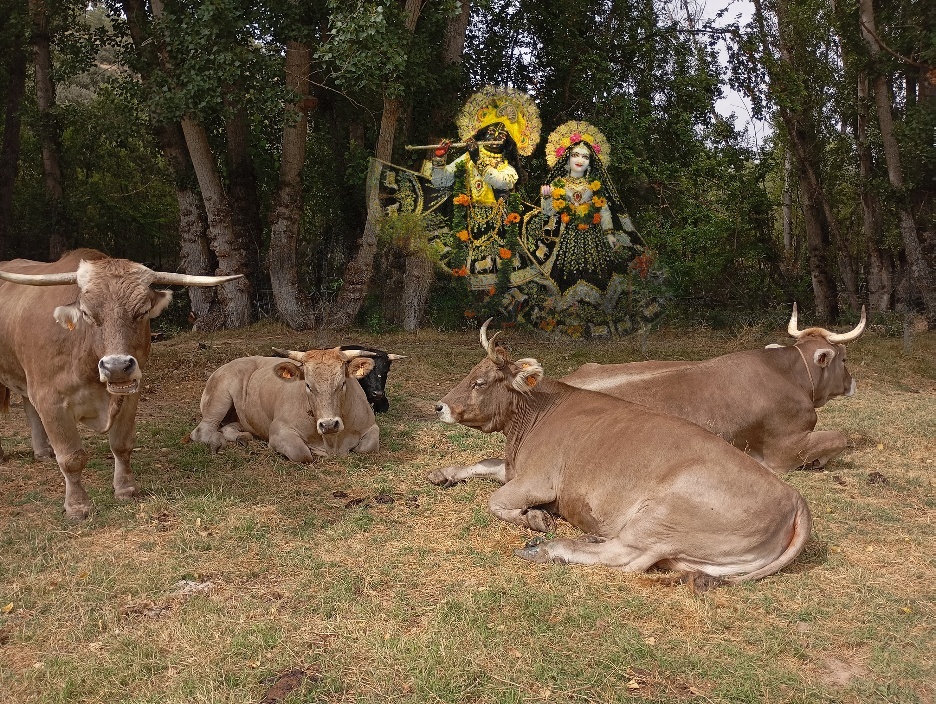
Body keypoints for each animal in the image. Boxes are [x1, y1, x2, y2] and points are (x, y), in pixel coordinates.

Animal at [0, 249, 240, 519]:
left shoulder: (130, 394)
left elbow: (122, 445)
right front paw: (77, 506)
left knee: (28, 407)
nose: (116, 366)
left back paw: (42, 452)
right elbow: (72, 458)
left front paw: (125, 488)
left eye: (142, 312)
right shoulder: (50, 400)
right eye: (87, 313)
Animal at [189, 347, 379, 462]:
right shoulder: (278, 432)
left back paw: (242, 438)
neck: (332, 441)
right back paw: (216, 442)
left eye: (342, 383)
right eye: (308, 385)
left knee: (229, 427)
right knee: (202, 430)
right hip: (218, 398)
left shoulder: (371, 425)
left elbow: (367, 448)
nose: (329, 424)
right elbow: (302, 454)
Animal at [431, 320, 812, 583]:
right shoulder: (514, 468)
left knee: (625, 557)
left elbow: (494, 501)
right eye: (470, 374)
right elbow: (484, 463)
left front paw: (535, 519)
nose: (439, 406)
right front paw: (443, 473)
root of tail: (794, 498)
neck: (533, 416)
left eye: (480, 382)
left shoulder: (539, 480)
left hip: (660, 516)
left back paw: (547, 549)